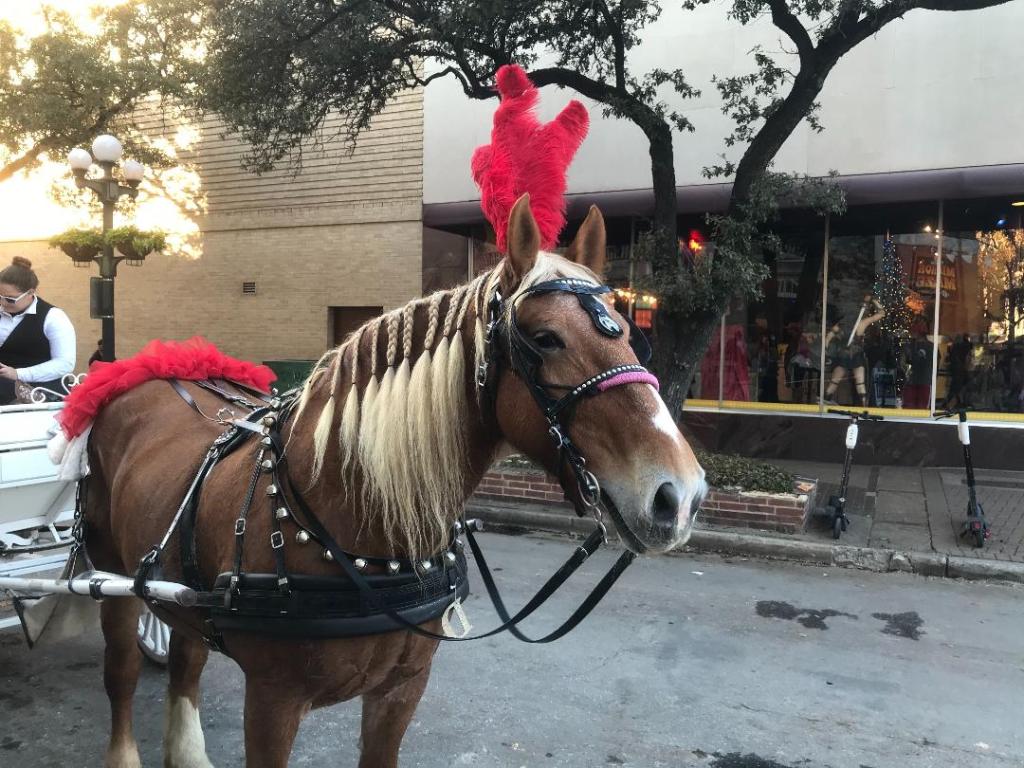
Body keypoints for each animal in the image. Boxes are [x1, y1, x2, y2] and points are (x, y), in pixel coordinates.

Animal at [83, 195, 706, 768]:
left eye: (628, 333)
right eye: (546, 338)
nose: (680, 495)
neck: (343, 512)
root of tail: (149, 371)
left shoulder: (400, 691)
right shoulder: (272, 701)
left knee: (185, 657)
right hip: (109, 572)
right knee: (121, 670)